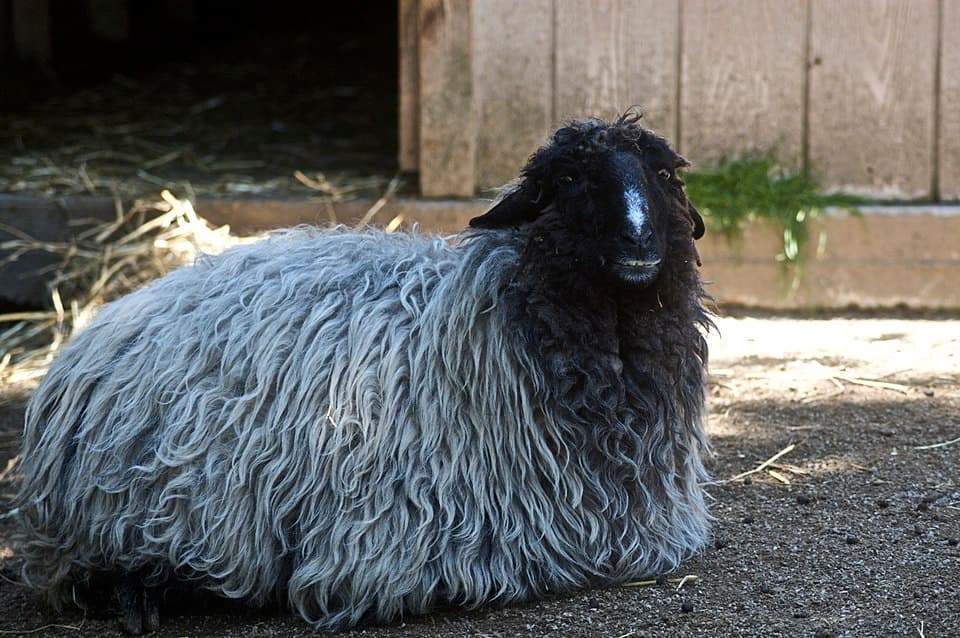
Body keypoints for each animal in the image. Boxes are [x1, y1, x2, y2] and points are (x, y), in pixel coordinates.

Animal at [14, 112, 712, 633]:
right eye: (568, 177)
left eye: (662, 175)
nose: (639, 242)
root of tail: (93, 334)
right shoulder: (390, 543)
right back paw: (146, 595)